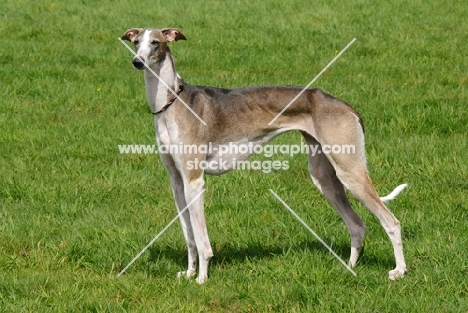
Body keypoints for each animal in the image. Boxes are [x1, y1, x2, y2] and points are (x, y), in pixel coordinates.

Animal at [120, 26, 406, 282]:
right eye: (136, 43)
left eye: (155, 43)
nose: (137, 62)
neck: (172, 102)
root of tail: (346, 106)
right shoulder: (178, 182)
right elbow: (188, 234)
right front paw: (189, 273)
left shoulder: (194, 181)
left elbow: (201, 240)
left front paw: (201, 278)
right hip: (325, 177)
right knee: (357, 225)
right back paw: (349, 267)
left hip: (350, 171)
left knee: (391, 222)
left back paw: (399, 272)